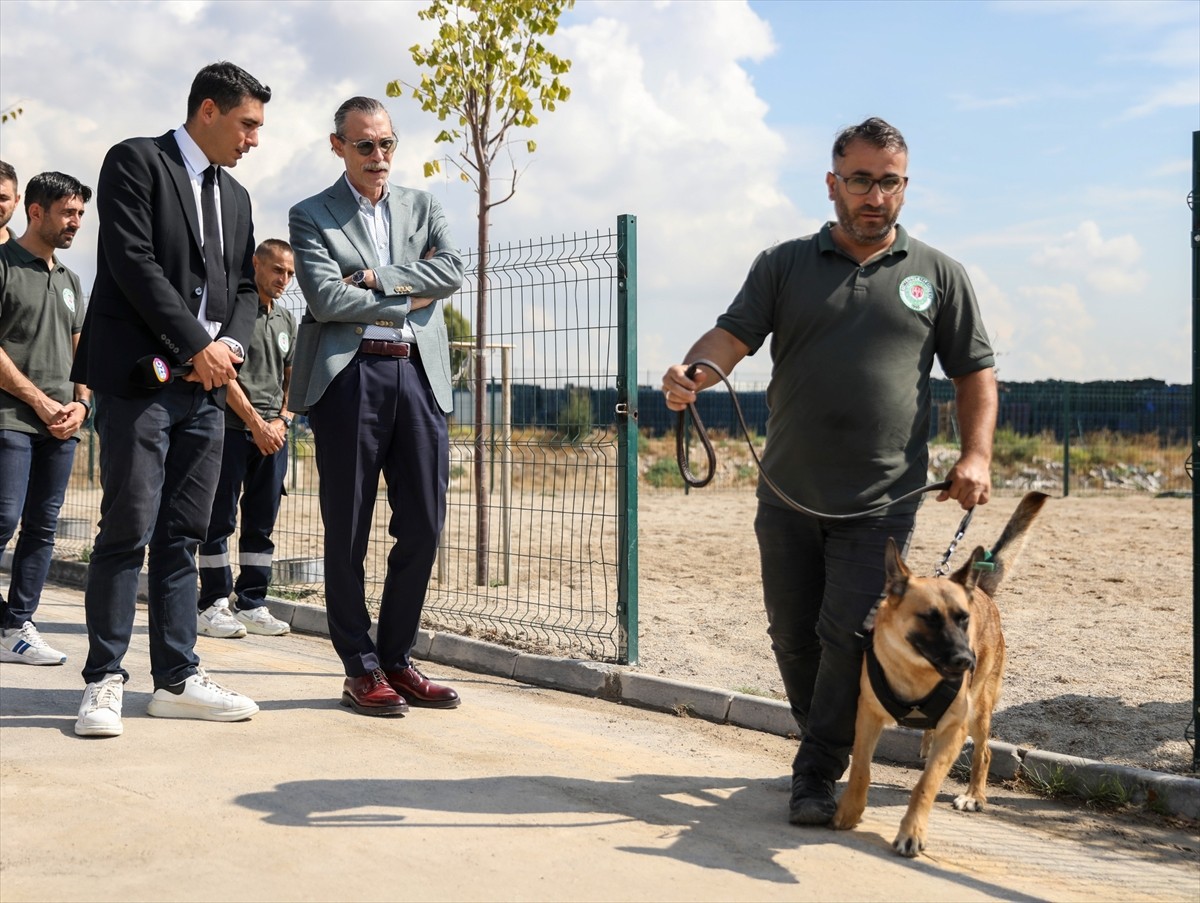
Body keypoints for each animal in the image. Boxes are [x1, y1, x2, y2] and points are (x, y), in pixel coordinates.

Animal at [830, 494, 1046, 854]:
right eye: (929, 618)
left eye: (963, 619)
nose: (966, 660)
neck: (916, 673)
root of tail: (980, 590)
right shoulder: (868, 717)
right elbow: (860, 768)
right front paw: (849, 811)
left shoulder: (954, 731)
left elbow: (926, 785)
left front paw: (912, 833)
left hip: (979, 712)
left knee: (984, 752)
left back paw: (974, 796)